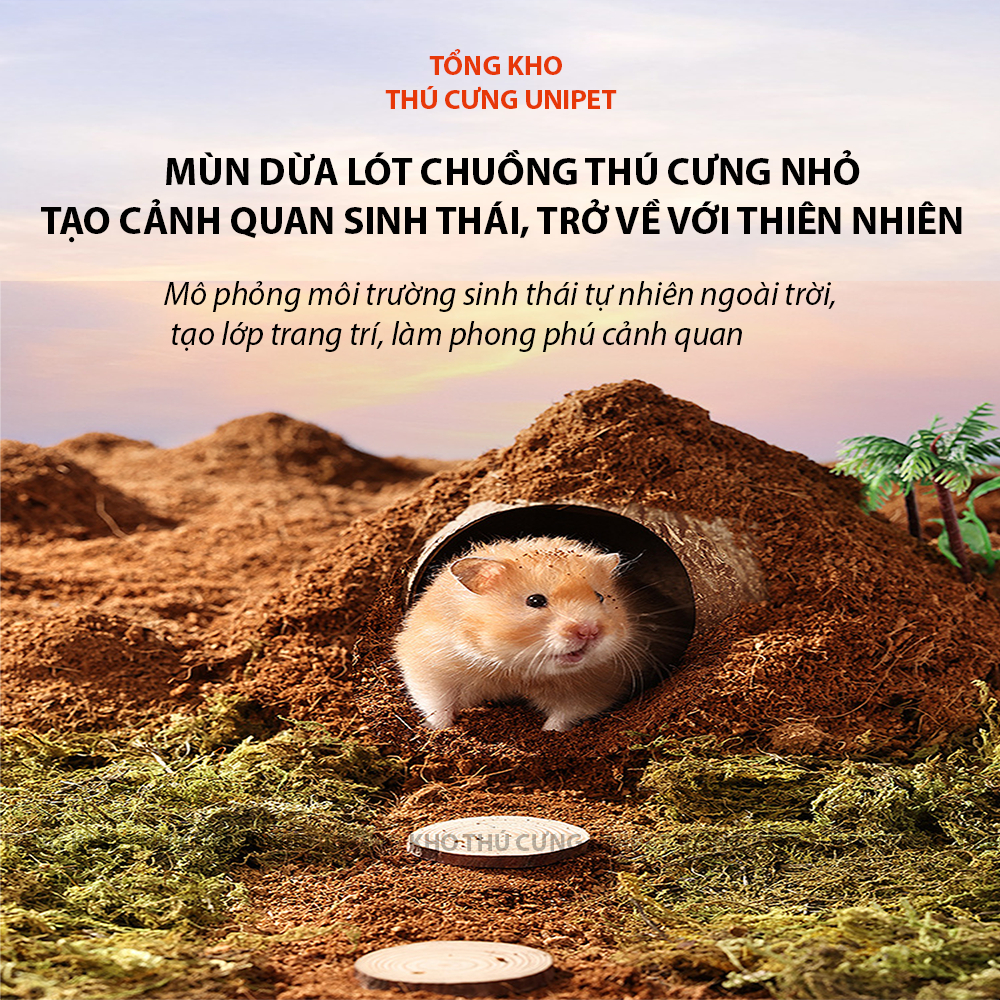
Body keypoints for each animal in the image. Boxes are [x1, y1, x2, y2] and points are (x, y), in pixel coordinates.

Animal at [394, 536, 652, 731]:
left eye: (600, 597)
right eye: (535, 601)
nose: (589, 631)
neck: (518, 669)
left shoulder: (593, 689)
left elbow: (564, 716)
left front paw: (548, 733)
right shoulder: (431, 665)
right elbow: (437, 703)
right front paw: (439, 731)